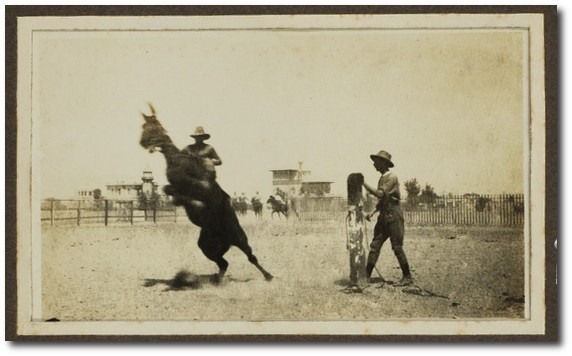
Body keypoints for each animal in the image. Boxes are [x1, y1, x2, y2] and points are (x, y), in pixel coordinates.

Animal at [139, 104, 272, 282]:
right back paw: (217, 279)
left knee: (251, 257)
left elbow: (193, 194)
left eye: (153, 126)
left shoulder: (205, 187)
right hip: (205, 246)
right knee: (223, 263)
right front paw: (182, 201)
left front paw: (195, 203)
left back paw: (268, 275)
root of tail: (226, 240)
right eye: (143, 126)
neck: (179, 160)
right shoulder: (174, 186)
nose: (142, 142)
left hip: (240, 238)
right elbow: (168, 189)